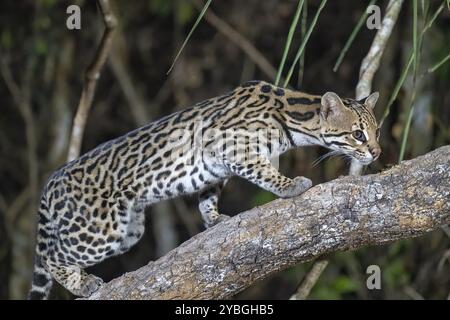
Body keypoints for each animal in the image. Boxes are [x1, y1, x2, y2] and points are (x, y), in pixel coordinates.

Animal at [28, 79, 380, 298]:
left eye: (376, 131)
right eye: (358, 135)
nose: (377, 153)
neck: (294, 114)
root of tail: (51, 182)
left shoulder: (217, 167)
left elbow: (207, 196)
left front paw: (213, 219)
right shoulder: (234, 147)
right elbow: (263, 172)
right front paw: (290, 185)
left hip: (130, 230)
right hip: (103, 229)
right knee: (51, 255)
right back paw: (80, 283)